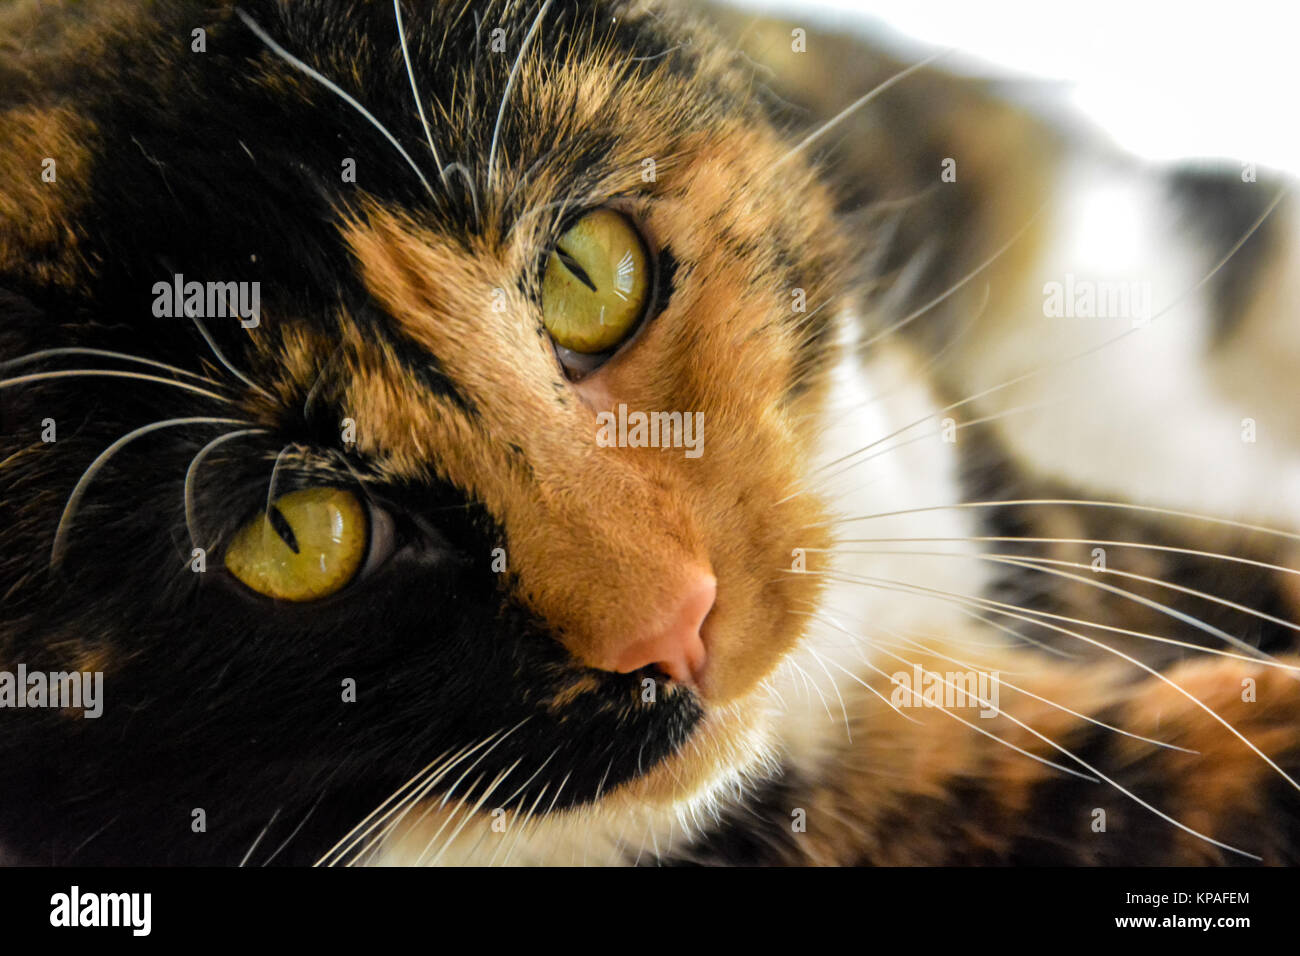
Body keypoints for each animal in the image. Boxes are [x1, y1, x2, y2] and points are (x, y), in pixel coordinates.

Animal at [0, 0, 1294, 868]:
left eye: (587, 272)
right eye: (291, 534)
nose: (678, 621)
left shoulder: (983, 489)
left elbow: (1178, 565)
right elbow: (1015, 790)